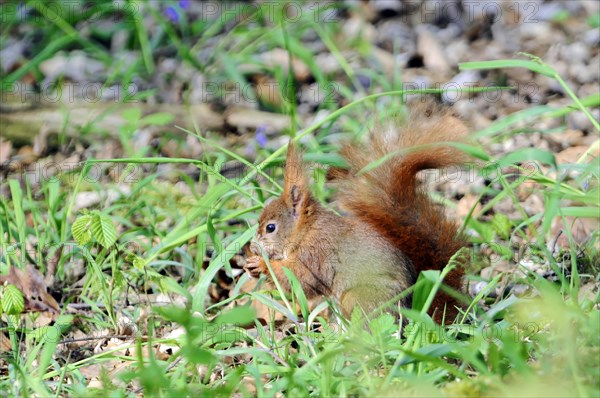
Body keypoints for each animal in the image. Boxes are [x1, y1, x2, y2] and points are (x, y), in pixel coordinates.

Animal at [244, 102, 468, 324]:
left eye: (270, 227)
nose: (252, 247)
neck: (306, 231)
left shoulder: (315, 255)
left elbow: (301, 279)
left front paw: (261, 265)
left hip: (357, 298)